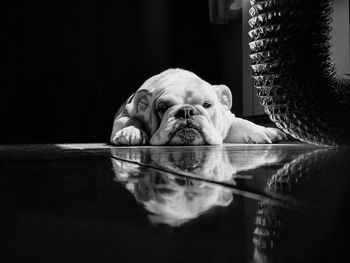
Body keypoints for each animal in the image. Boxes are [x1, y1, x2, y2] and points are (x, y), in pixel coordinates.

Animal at [110, 68, 288, 146]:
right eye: (162, 106)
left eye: (207, 104)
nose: (186, 111)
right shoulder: (126, 113)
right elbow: (129, 121)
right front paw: (130, 131)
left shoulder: (226, 120)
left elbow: (241, 122)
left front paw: (263, 130)